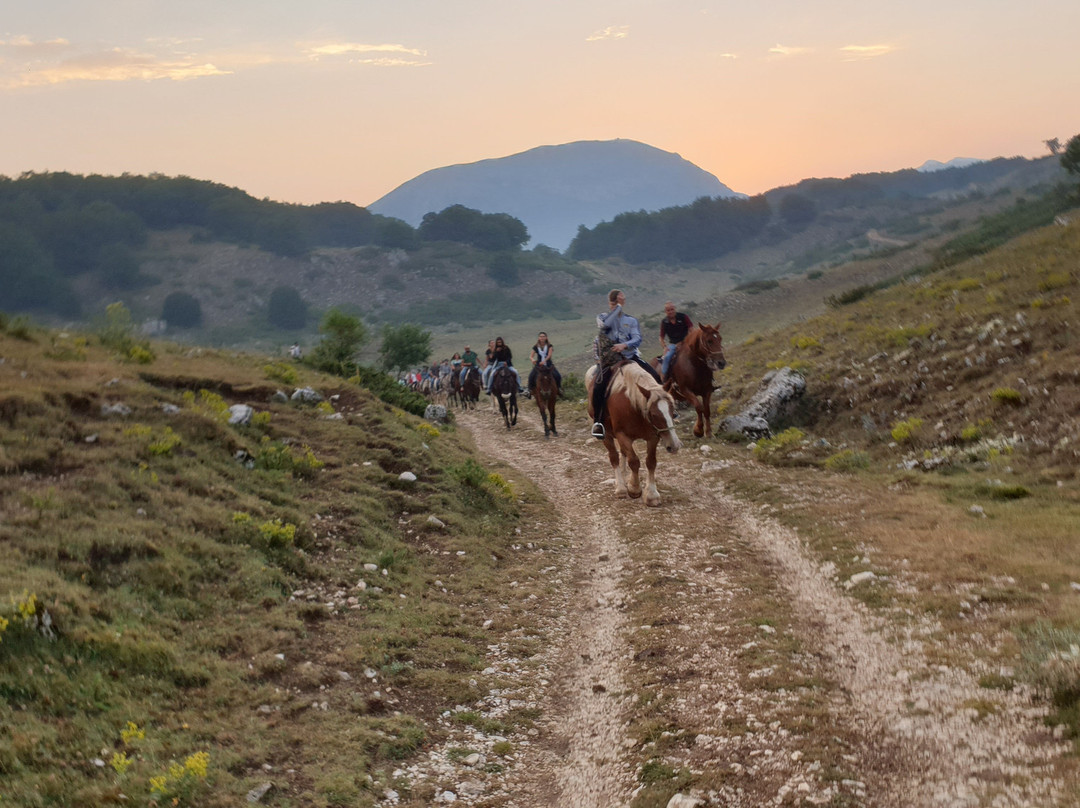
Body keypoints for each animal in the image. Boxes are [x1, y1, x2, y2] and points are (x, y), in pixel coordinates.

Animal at [587, 360, 678, 505]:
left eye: (672, 410)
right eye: (653, 414)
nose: (674, 446)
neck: (632, 406)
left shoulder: (652, 437)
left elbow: (651, 462)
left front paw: (651, 495)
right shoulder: (622, 435)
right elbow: (634, 461)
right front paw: (634, 489)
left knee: (623, 454)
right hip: (607, 435)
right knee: (614, 457)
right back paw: (620, 488)